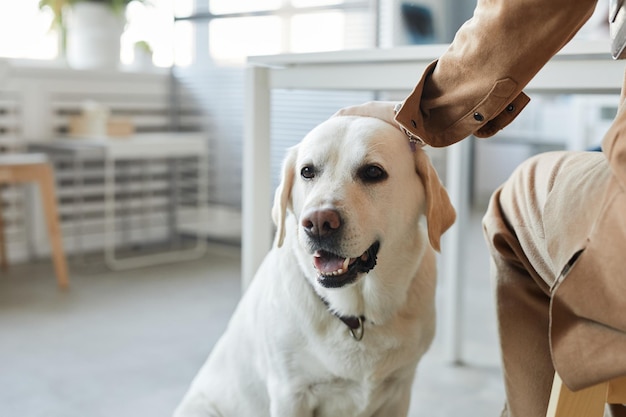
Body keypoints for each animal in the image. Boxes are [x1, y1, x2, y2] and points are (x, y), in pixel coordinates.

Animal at [174, 114, 454, 416]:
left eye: (373, 172)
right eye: (307, 171)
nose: (318, 223)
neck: (356, 313)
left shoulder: (399, 389)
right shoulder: (290, 393)